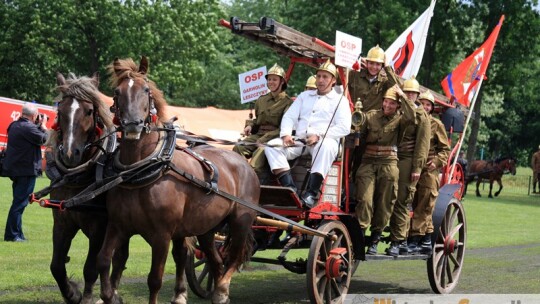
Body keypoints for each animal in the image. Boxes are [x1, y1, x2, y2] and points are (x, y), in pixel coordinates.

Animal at [45, 73, 127, 304]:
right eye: (60, 111)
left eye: (89, 111)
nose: (69, 153)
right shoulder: (62, 221)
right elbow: (56, 265)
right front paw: (72, 293)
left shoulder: (100, 227)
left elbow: (91, 268)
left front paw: (88, 296)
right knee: (120, 257)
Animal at [97, 57, 260, 304]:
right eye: (117, 91)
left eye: (146, 90)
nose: (133, 124)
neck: (141, 171)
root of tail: (244, 163)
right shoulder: (118, 226)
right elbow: (104, 260)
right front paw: (111, 296)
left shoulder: (162, 235)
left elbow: (154, 279)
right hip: (207, 228)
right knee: (215, 260)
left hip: (241, 220)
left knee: (233, 257)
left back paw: (222, 289)